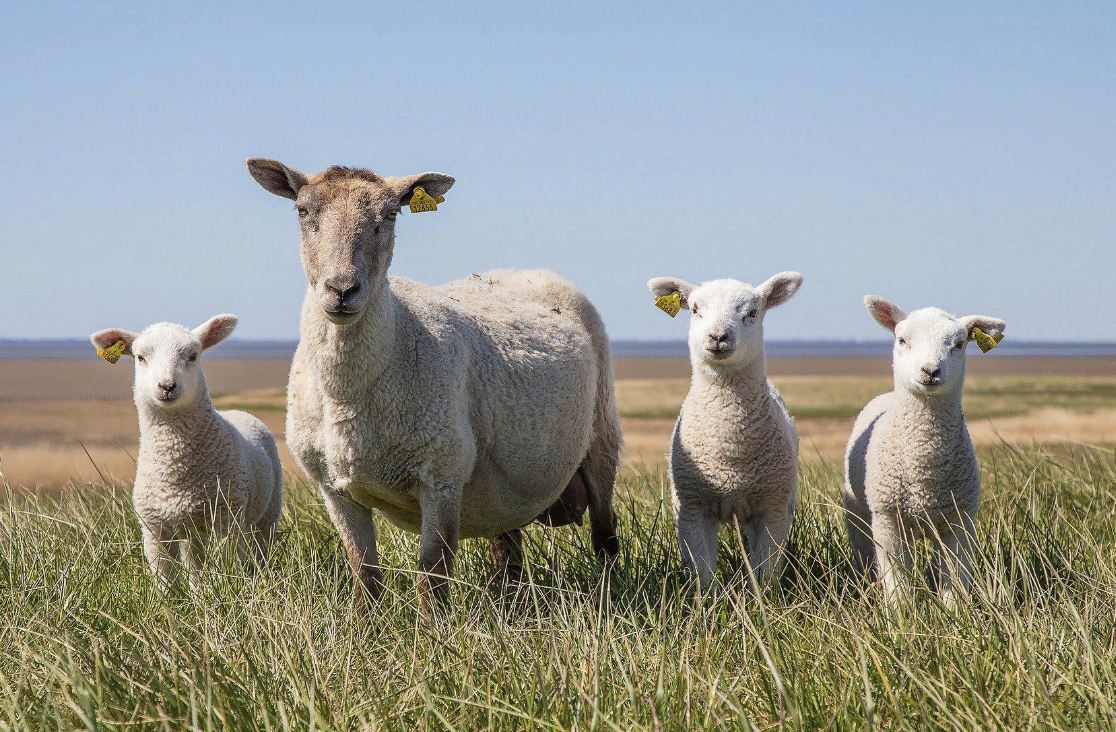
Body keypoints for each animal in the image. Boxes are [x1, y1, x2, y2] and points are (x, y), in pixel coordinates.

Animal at [90, 316, 283, 589]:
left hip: (266, 513)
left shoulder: (225, 518)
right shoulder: (153, 527)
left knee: (259, 547)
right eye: (140, 357)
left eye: (193, 356)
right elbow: (163, 579)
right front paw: (169, 600)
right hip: (191, 529)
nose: (167, 386)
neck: (175, 469)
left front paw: (223, 591)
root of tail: (238, 411)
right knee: (194, 563)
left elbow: (225, 564)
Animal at [245, 160, 624, 611]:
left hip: (602, 434)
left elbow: (432, 574)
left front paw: (433, 629)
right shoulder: (333, 487)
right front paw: (365, 625)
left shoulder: (441, 475)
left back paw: (610, 599)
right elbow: (364, 574)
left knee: (605, 534)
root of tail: (524, 271)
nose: (342, 290)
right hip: (505, 488)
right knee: (508, 549)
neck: (349, 394)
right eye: (303, 211)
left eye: (391, 215)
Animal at [647, 271, 803, 593]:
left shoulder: (772, 508)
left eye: (752, 312)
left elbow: (766, 570)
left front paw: (763, 599)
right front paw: (706, 602)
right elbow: (701, 572)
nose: (718, 337)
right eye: (695, 309)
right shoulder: (691, 508)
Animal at [839, 294, 1008, 602]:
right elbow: (897, 584)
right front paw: (900, 614)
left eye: (959, 343)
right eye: (902, 340)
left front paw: (954, 613)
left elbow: (954, 580)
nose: (930, 371)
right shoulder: (888, 522)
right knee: (863, 553)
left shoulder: (959, 522)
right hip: (858, 513)